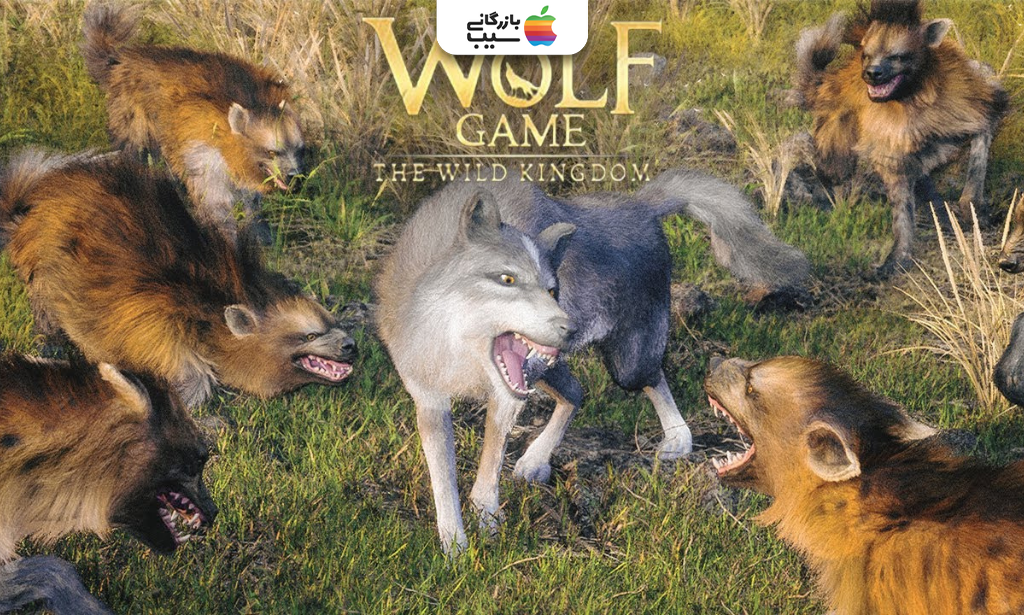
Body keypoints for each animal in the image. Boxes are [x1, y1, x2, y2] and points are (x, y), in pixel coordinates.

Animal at [0, 149, 356, 408]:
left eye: (333, 322)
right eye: (309, 335)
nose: (351, 344)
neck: (205, 311)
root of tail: (28, 212)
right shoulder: (158, 337)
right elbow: (189, 382)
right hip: (42, 269)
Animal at [81, 2, 305, 244]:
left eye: (299, 150)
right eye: (272, 152)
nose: (295, 178)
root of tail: (123, 59)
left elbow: (252, 204)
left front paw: (263, 234)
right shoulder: (204, 155)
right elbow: (217, 204)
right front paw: (227, 238)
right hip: (136, 122)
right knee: (136, 154)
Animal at [376, 169, 811, 552]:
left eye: (552, 289)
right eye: (507, 279)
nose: (568, 328)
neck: (457, 351)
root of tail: (641, 204)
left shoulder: (507, 397)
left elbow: (487, 473)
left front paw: (489, 525)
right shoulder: (432, 403)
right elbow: (443, 483)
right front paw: (455, 547)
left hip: (624, 366)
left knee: (650, 380)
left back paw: (677, 441)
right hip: (553, 371)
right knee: (577, 393)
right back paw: (536, 463)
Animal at [794, 0, 1007, 276]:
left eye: (897, 56)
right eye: (866, 55)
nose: (871, 73)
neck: (912, 101)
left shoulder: (977, 105)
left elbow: (980, 147)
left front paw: (971, 206)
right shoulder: (889, 150)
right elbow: (901, 206)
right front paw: (898, 256)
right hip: (837, 142)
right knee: (834, 172)